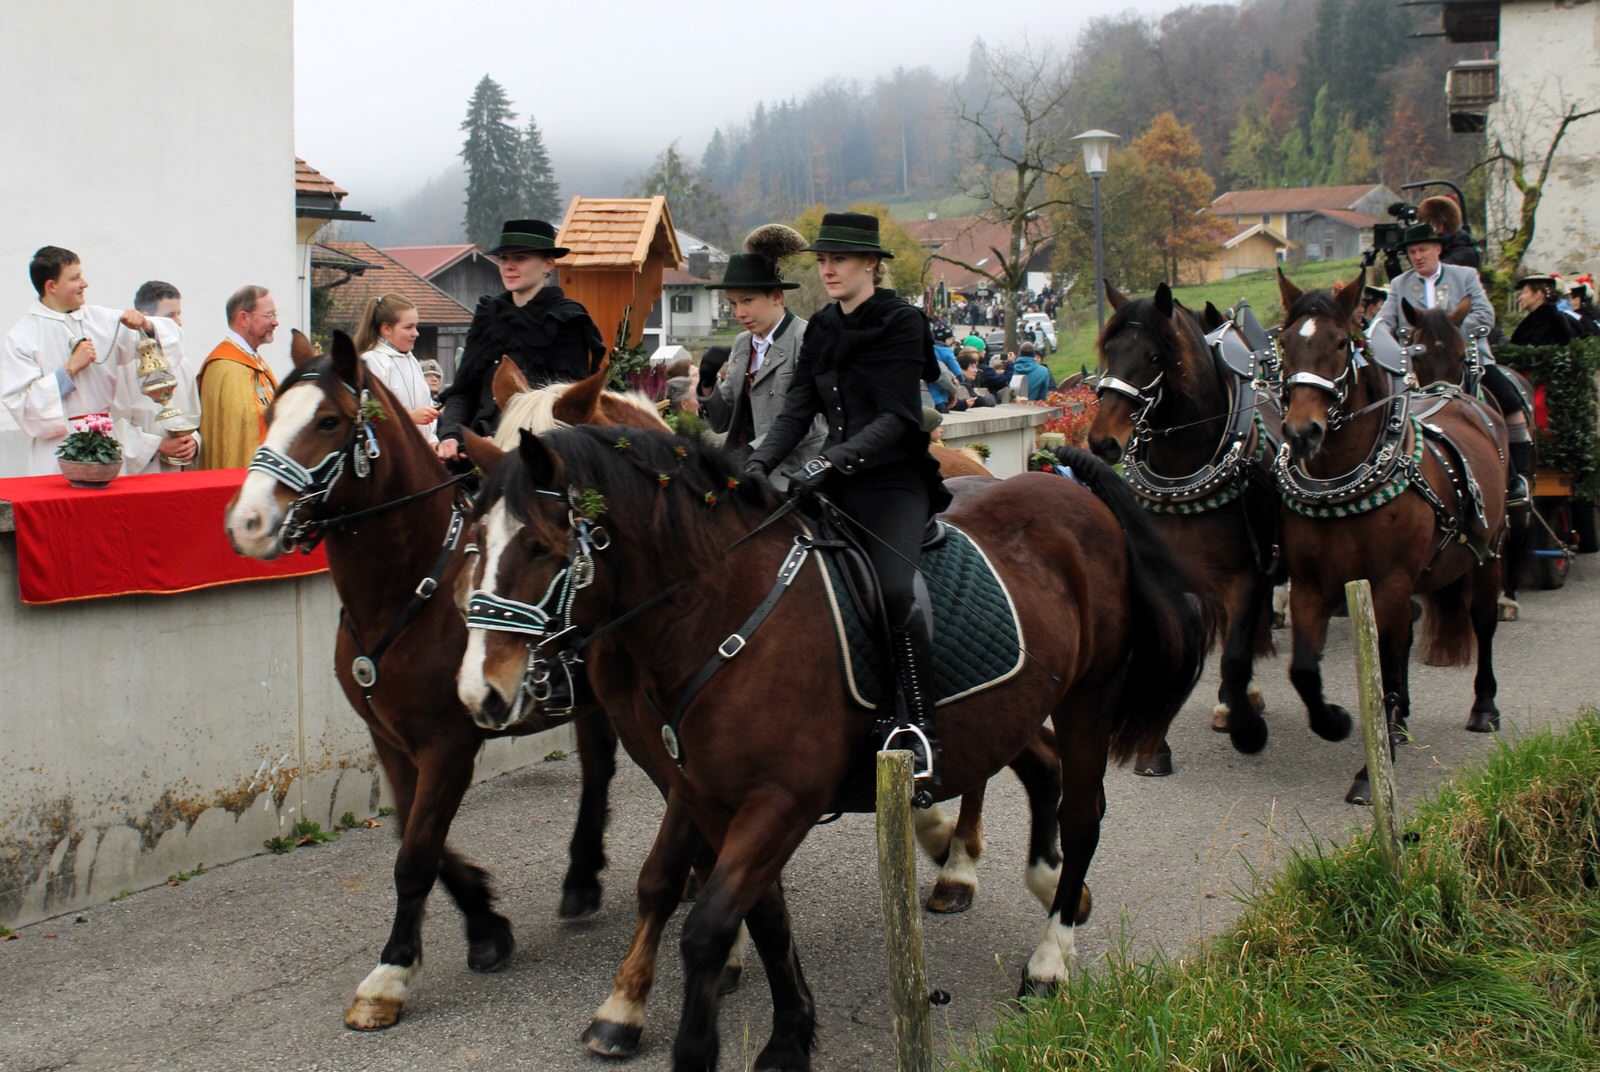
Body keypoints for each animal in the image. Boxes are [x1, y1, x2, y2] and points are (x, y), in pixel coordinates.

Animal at [224, 336, 617, 1030]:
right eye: (268, 416)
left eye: (329, 421)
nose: (248, 523)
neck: (409, 590)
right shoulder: (391, 740)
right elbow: (414, 833)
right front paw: (486, 926)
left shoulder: (447, 745)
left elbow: (415, 856)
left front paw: (391, 974)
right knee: (598, 768)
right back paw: (581, 880)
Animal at [457, 425, 1203, 1068]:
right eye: (471, 544)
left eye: (540, 546)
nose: (480, 693)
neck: (718, 610)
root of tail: (1070, 493)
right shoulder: (706, 793)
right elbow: (741, 907)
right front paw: (787, 1032)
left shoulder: (780, 800)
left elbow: (709, 925)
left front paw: (700, 1046)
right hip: (1013, 708)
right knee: (1040, 771)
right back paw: (1025, 880)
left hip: (1089, 698)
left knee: (1083, 815)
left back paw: (1049, 957)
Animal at [1088, 283, 1286, 774]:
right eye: (1109, 352)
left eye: (1156, 357)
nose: (1102, 441)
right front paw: (1153, 746)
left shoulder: (1247, 575)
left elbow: (1234, 656)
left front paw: (1246, 727)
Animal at [1273, 270, 1497, 806]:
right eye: (1285, 343)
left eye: (1340, 343)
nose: (1302, 431)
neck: (1342, 480)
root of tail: (1455, 396)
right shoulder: (1310, 586)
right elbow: (1303, 671)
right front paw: (1336, 721)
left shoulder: (1390, 582)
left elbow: (1388, 670)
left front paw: (1370, 771)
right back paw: (1398, 725)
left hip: (1490, 552)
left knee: (1483, 622)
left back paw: (1482, 707)